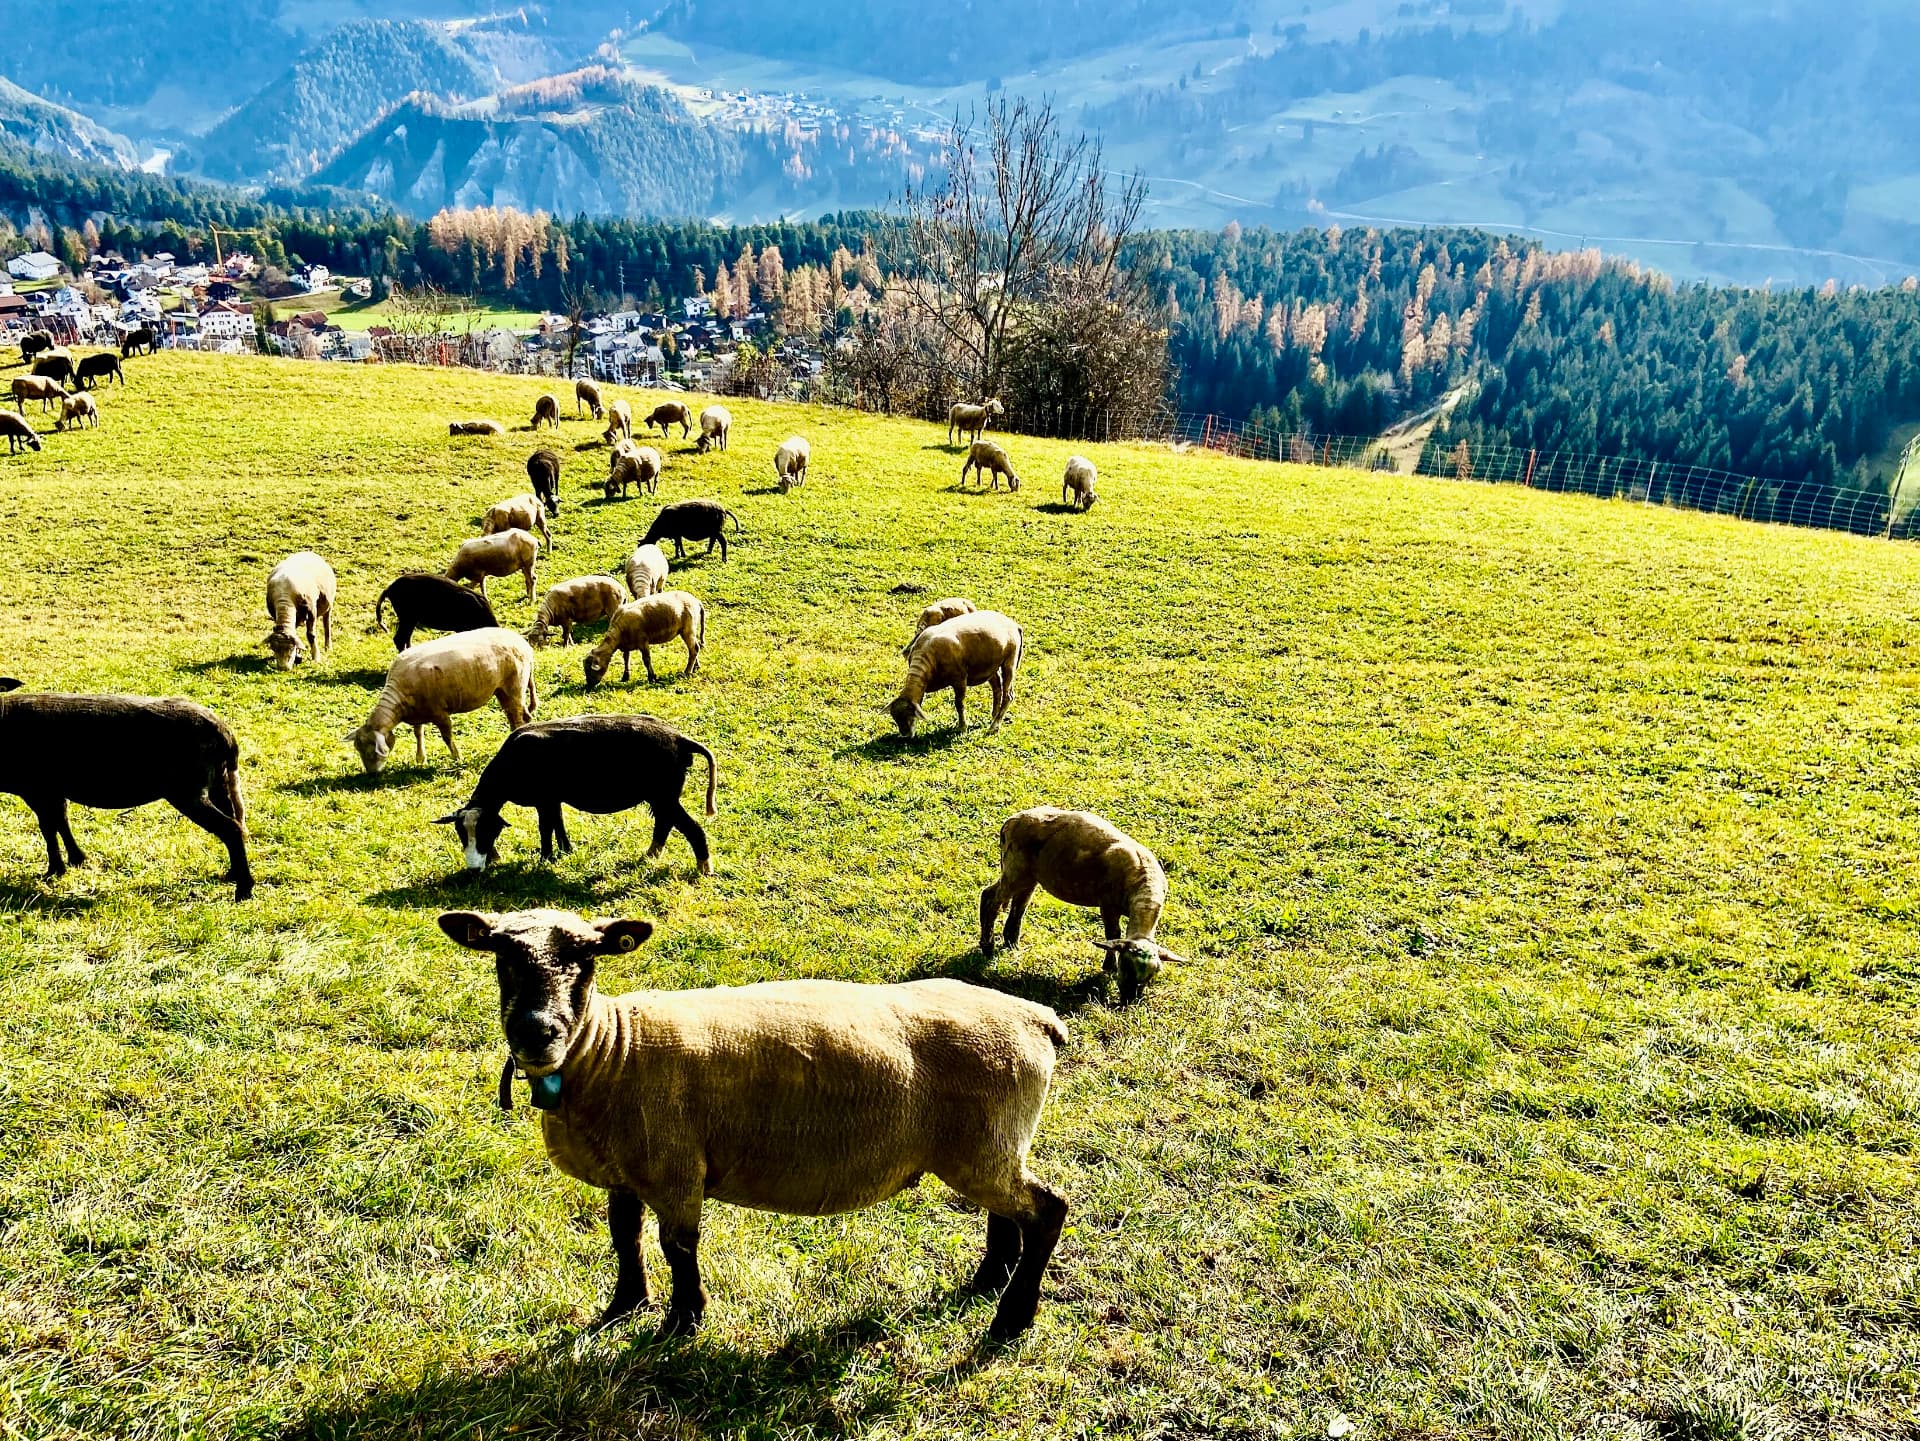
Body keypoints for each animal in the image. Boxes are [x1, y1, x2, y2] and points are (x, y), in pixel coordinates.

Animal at [0, 690, 252, 899]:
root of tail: (226, 735)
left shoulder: (37, 789)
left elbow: (48, 829)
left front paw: (55, 870)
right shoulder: (51, 791)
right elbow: (60, 822)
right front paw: (75, 860)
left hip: (188, 790)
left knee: (230, 828)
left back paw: (244, 890)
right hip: (219, 783)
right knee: (235, 823)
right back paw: (232, 874)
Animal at [347, 628, 536, 774]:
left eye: (373, 752)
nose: (372, 774)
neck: (398, 699)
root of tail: (523, 643)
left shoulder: (440, 713)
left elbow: (446, 737)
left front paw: (457, 758)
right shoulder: (418, 712)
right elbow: (418, 733)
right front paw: (420, 759)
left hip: (514, 687)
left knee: (518, 719)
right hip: (503, 691)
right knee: (521, 717)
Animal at [435, 716, 717, 874]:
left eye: (484, 832)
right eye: (461, 834)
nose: (473, 870)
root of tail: (680, 739)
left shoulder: (544, 799)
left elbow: (545, 828)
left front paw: (546, 859)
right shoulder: (552, 799)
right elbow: (558, 823)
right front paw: (566, 851)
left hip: (664, 794)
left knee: (690, 828)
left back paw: (704, 868)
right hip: (662, 796)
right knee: (665, 823)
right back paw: (650, 855)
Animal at [889, 610, 1022, 737]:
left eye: (909, 715)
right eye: (895, 718)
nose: (905, 734)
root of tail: (1015, 625)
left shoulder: (960, 679)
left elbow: (959, 704)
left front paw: (962, 726)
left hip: (1010, 661)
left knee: (1008, 695)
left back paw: (994, 727)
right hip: (991, 665)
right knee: (997, 689)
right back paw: (994, 716)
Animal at [979, 807, 1187, 1003]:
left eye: (1152, 975)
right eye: (1125, 966)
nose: (1129, 1000)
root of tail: (1011, 821)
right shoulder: (1107, 904)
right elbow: (1113, 934)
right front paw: (1109, 967)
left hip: (1028, 875)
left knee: (1019, 906)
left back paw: (1011, 943)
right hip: (1015, 868)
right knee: (990, 898)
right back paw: (988, 947)